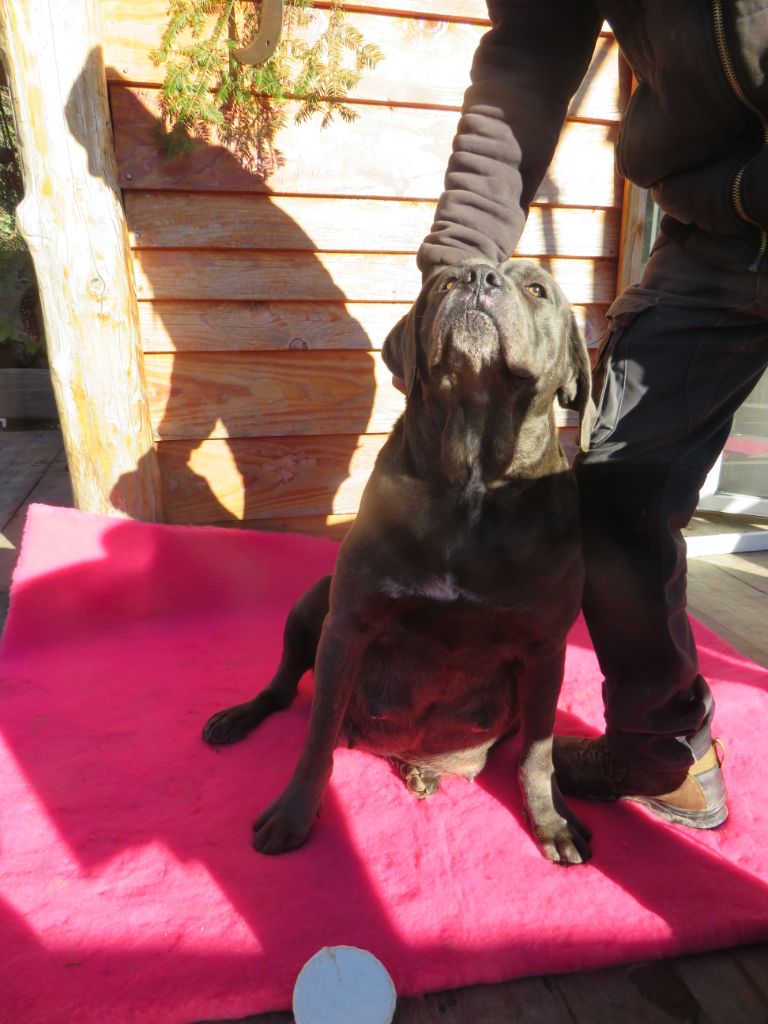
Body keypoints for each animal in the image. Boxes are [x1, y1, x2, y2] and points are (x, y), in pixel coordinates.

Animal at [207, 260, 598, 868]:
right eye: (444, 283)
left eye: (538, 289)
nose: (478, 277)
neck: (471, 482)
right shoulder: (346, 627)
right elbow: (316, 737)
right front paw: (294, 815)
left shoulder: (546, 647)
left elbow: (538, 752)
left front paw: (551, 819)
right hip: (311, 604)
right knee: (284, 688)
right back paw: (236, 718)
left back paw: (421, 771)